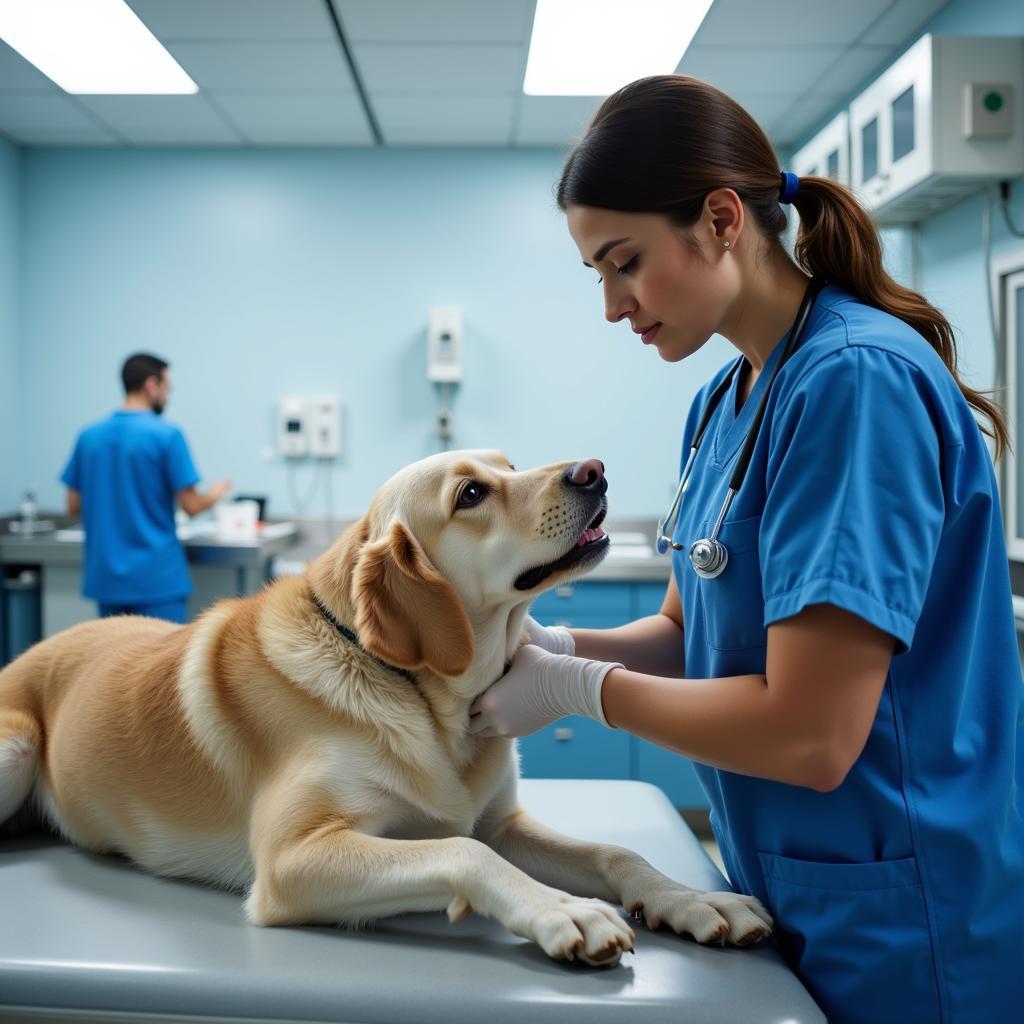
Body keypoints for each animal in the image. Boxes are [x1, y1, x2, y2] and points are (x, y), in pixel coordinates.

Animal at [0, 452, 770, 962]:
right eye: (471, 493)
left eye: (509, 464)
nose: (594, 470)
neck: (421, 694)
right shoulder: (291, 861)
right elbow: (460, 850)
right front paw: (560, 909)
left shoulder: (503, 823)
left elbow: (615, 851)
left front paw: (691, 898)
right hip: (16, 745)